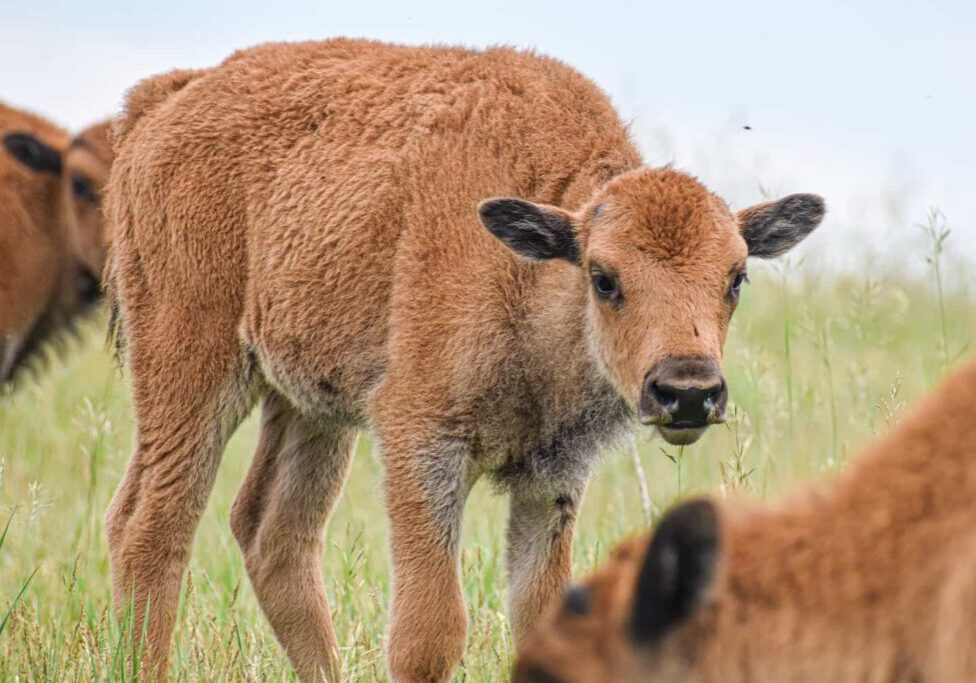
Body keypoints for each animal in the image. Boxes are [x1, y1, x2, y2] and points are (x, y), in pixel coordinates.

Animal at [105, 38, 824, 683]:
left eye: (736, 277)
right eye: (604, 277)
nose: (689, 390)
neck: (529, 271)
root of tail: (166, 99)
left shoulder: (552, 476)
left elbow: (541, 616)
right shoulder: (420, 443)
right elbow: (429, 633)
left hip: (311, 406)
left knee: (273, 533)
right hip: (191, 364)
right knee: (150, 525)